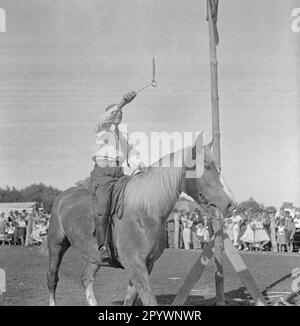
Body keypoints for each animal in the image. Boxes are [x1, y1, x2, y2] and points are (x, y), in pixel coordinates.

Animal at [47, 134, 236, 306]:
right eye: (205, 166)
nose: (230, 204)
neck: (146, 211)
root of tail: (63, 196)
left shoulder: (146, 265)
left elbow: (130, 300)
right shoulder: (136, 266)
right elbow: (150, 301)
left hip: (95, 256)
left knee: (86, 278)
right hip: (56, 246)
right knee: (52, 279)